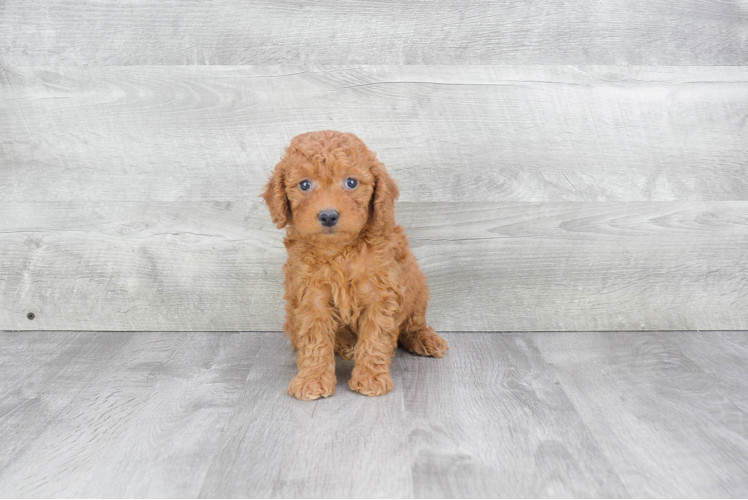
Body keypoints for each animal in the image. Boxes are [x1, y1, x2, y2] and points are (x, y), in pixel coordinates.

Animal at [262, 131, 450, 400]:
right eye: (304, 185)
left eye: (351, 182)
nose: (328, 215)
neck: (340, 250)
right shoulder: (311, 295)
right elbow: (315, 338)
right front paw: (312, 379)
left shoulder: (381, 291)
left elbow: (376, 336)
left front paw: (371, 377)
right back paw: (346, 346)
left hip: (417, 285)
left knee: (412, 324)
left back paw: (425, 339)